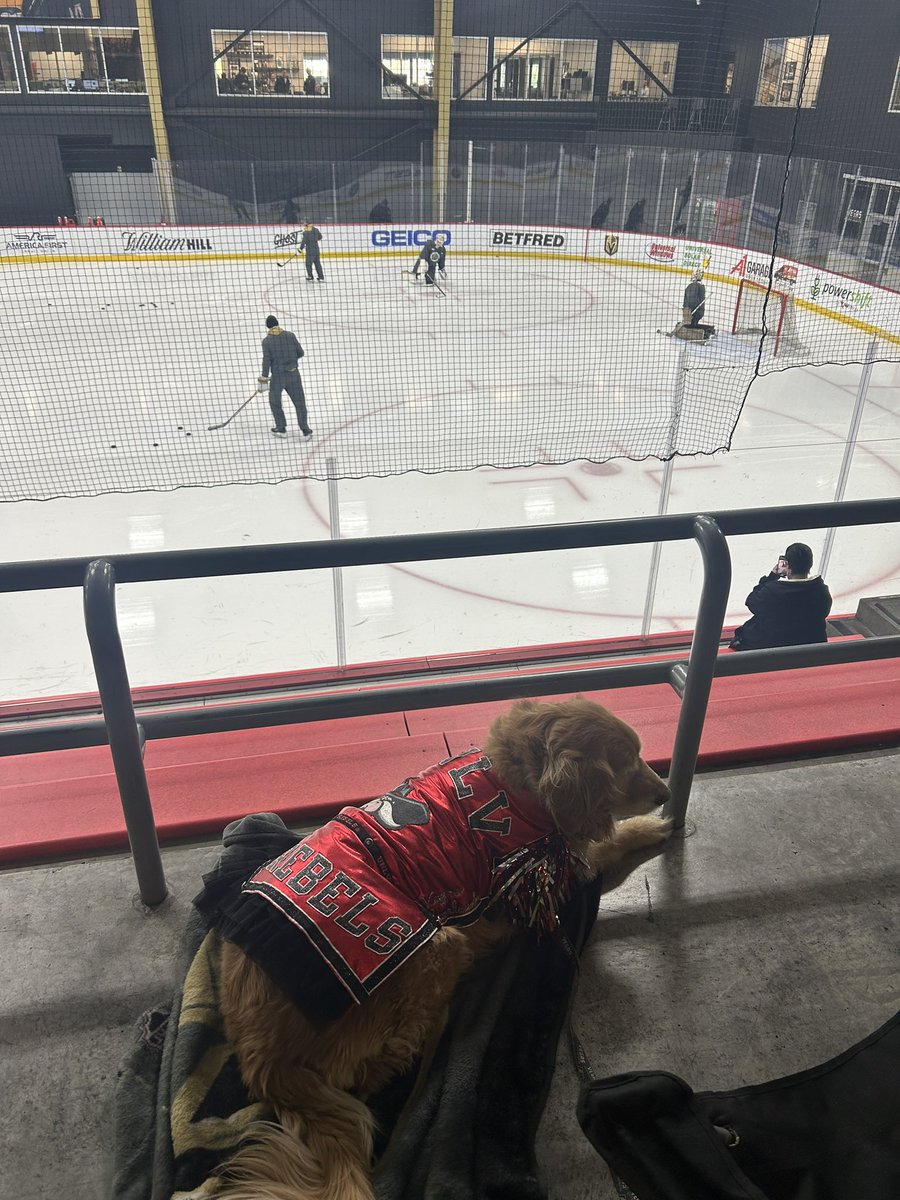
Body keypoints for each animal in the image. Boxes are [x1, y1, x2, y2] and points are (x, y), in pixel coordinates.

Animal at [199, 696, 676, 1200]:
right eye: (624, 765)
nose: (665, 793)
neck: (519, 771)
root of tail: (261, 1057)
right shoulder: (554, 863)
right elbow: (608, 843)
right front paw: (649, 827)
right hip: (435, 947)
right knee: (372, 1071)